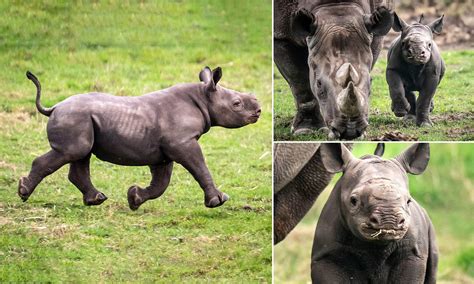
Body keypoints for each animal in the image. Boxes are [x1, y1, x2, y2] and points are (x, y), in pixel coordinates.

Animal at [18, 66, 262, 209]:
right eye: (236, 104)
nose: (259, 110)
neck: (203, 97)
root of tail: (53, 107)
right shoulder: (182, 142)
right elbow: (200, 167)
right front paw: (218, 201)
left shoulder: (166, 150)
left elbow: (161, 182)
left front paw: (134, 198)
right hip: (74, 117)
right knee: (73, 152)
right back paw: (23, 193)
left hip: (80, 119)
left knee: (80, 155)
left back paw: (96, 200)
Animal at [274, 0, 392, 140]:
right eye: (319, 84)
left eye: (371, 81)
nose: (350, 132)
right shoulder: (280, 35)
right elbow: (299, 82)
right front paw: (305, 130)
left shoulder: (373, 33)